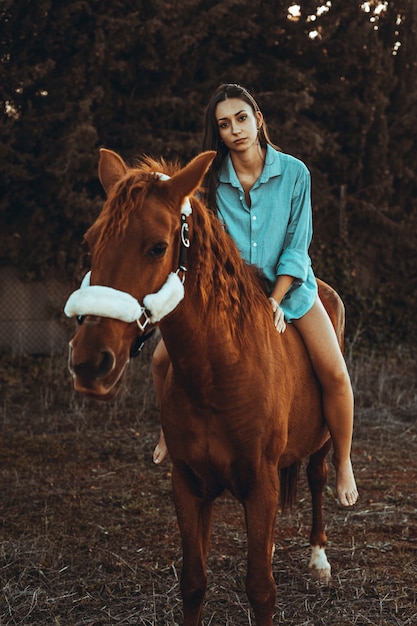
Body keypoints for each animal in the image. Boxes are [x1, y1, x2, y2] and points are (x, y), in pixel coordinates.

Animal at [66, 147, 344, 624]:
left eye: (158, 246)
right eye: (91, 241)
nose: (88, 362)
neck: (219, 373)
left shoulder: (261, 484)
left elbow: (261, 589)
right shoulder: (190, 484)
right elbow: (194, 582)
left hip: (323, 438)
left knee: (317, 476)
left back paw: (321, 558)